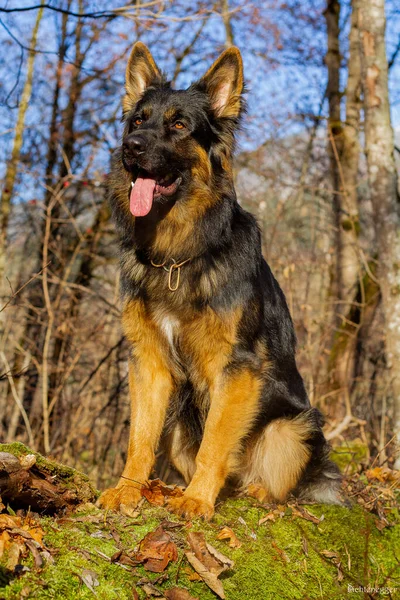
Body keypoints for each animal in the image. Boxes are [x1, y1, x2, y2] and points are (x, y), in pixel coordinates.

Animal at [98, 43, 342, 520]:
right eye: (138, 120)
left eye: (178, 124)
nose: (130, 147)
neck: (176, 256)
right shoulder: (149, 364)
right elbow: (139, 438)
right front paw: (128, 489)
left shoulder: (237, 367)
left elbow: (214, 442)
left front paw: (196, 499)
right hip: (180, 422)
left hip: (293, 425)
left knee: (275, 478)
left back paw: (254, 492)